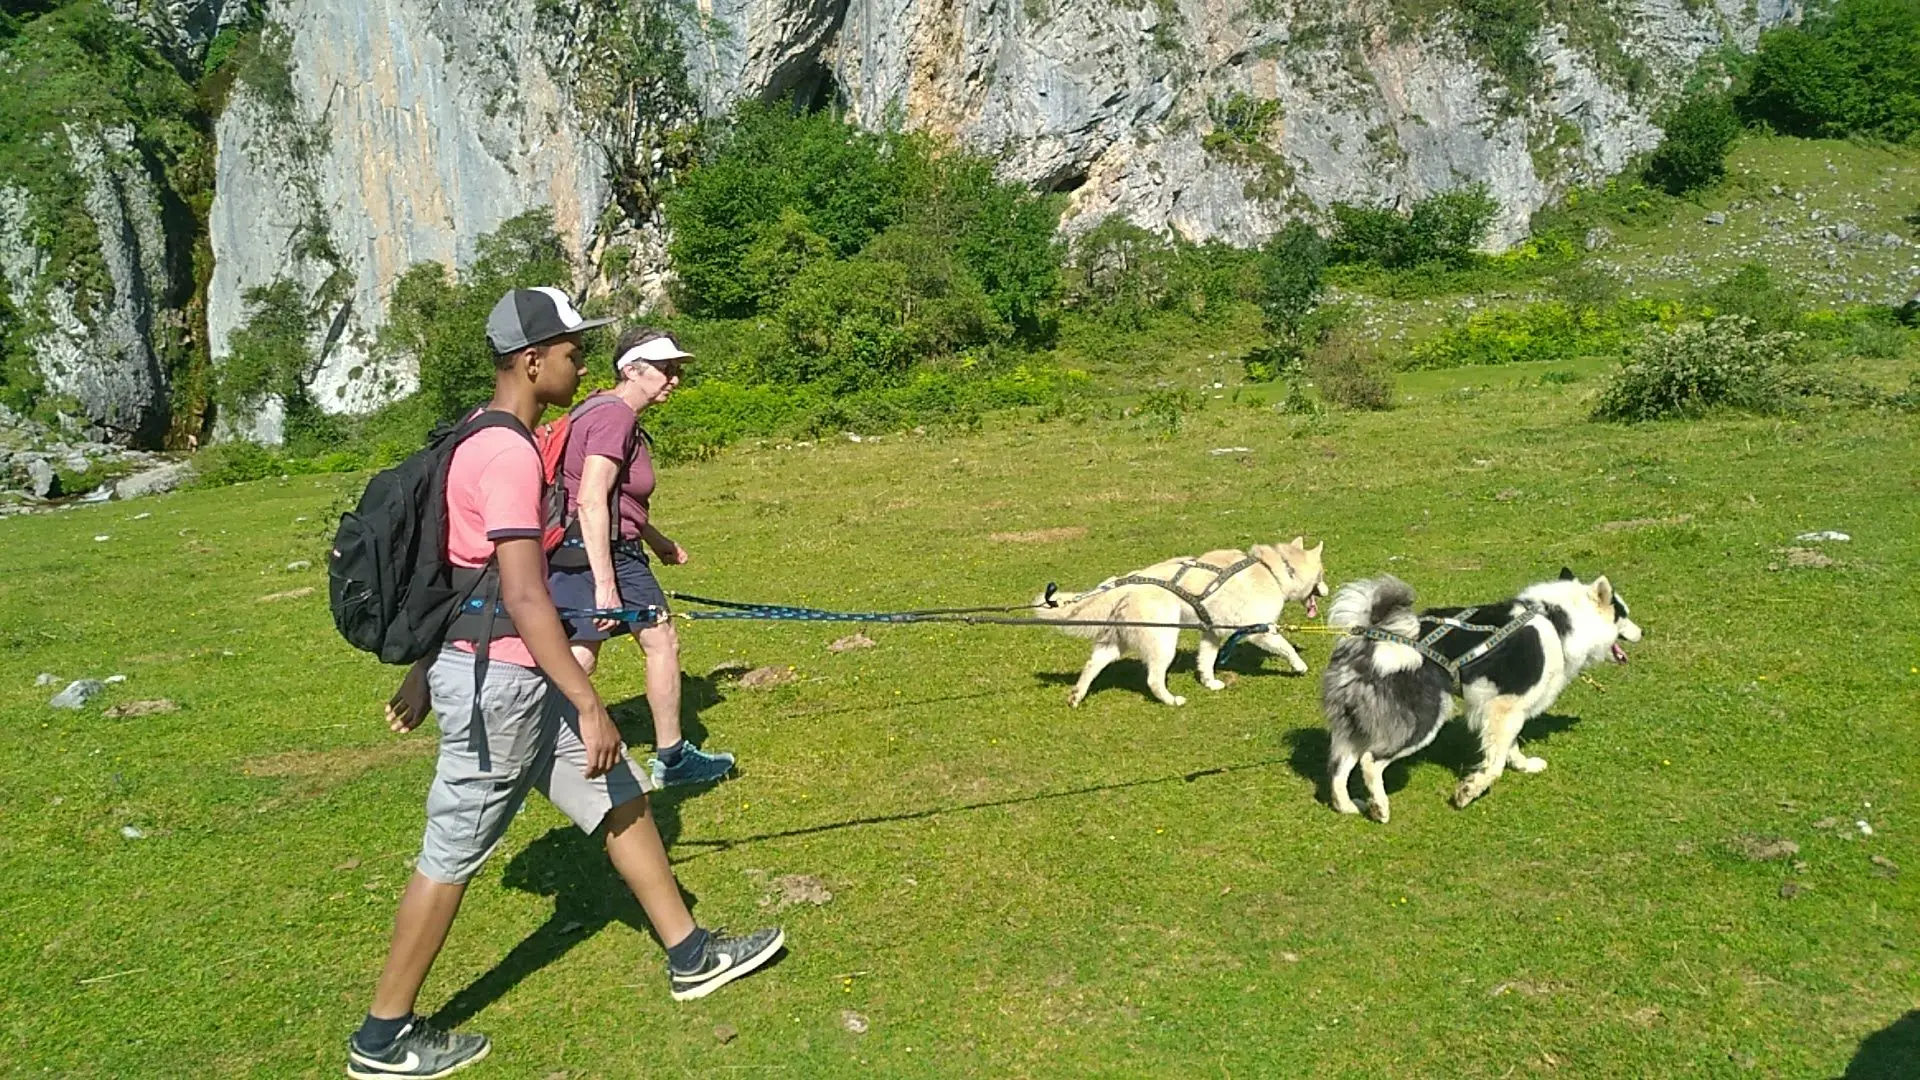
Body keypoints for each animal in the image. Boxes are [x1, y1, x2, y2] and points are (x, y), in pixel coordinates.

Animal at [1044, 538, 1328, 707]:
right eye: (1322, 574)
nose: (1326, 591)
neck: (1274, 570)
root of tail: (1127, 585)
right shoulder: (1259, 631)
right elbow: (1287, 648)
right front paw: (1299, 666)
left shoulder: (1211, 632)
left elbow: (1206, 660)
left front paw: (1209, 682)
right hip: (1164, 642)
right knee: (1153, 680)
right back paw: (1171, 700)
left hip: (1114, 644)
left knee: (1092, 665)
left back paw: (1076, 696)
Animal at [1320, 568, 1651, 818]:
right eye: (1623, 614)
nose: (1643, 632)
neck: (1558, 621)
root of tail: (1371, 638)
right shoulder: (1503, 707)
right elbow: (1494, 765)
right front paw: (1469, 791)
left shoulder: (1509, 710)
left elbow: (1508, 748)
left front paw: (1524, 765)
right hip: (1424, 717)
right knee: (1370, 761)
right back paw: (1379, 807)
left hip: (1355, 721)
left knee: (1338, 766)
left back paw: (1347, 806)